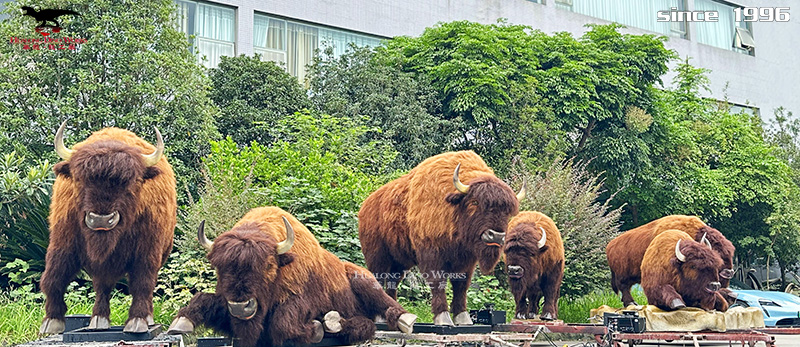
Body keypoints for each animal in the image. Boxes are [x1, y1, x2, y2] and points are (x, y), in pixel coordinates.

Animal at [39, 121, 177, 334]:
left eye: (132, 182)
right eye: (79, 179)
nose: (101, 220)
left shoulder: (147, 252)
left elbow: (142, 283)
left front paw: (137, 321)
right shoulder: (62, 243)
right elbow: (54, 276)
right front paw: (51, 322)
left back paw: (146, 318)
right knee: (102, 287)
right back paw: (98, 320)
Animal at [169, 208, 418, 346]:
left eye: (268, 265)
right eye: (218, 267)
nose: (241, 306)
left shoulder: (302, 300)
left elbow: (283, 323)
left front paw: (314, 330)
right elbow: (203, 299)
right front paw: (181, 323)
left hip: (364, 282)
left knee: (384, 308)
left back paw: (405, 320)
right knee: (362, 324)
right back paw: (331, 322)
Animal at [358, 152, 520, 326]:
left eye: (507, 212)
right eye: (474, 202)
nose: (496, 235)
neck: (453, 208)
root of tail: (365, 206)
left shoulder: (466, 261)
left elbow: (461, 286)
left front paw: (463, 318)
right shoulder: (432, 255)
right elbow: (438, 283)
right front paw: (443, 318)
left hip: (400, 262)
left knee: (392, 283)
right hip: (377, 257)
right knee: (378, 279)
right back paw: (380, 318)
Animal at [608, 215, 736, 308]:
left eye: (730, 253)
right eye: (717, 251)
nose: (729, 272)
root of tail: (610, 245)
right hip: (622, 275)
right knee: (624, 287)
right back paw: (631, 303)